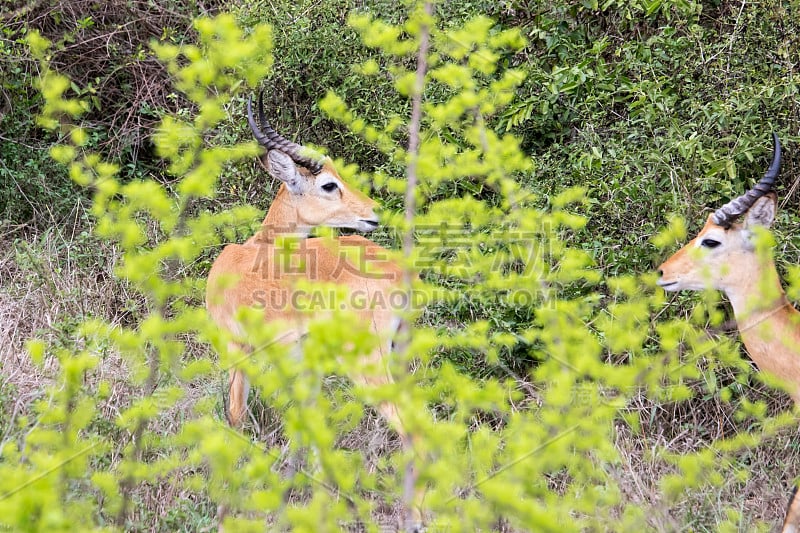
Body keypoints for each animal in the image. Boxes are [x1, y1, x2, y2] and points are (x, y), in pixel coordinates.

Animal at [205, 95, 424, 524]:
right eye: (329, 183)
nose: (373, 212)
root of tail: (399, 271)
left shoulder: (237, 350)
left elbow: (235, 418)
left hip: (367, 363)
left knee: (413, 429)